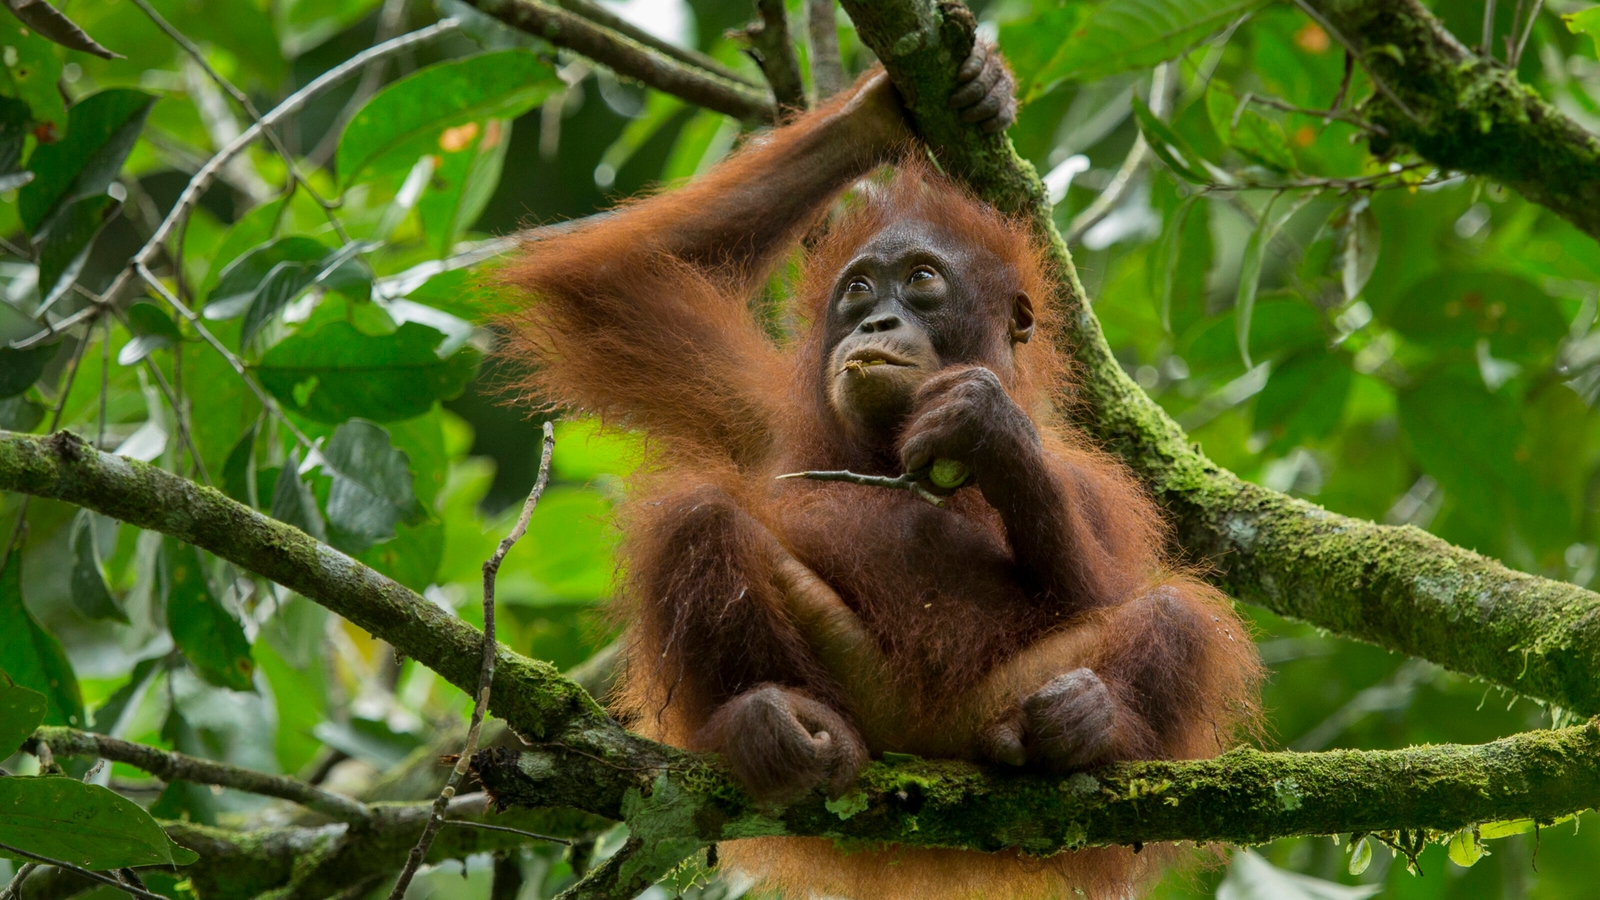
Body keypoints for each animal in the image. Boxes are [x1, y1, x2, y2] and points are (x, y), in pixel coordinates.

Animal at [499, 41, 1261, 900]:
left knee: (1180, 613)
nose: (876, 322)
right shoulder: (758, 412)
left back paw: (1081, 729)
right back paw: (775, 726)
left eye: (923, 281)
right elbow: (610, 285)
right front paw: (885, 106)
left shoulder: (1100, 482)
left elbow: (1102, 588)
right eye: (859, 288)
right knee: (697, 513)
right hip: (858, 685)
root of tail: (919, 754)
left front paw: (989, 426)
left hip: (991, 704)